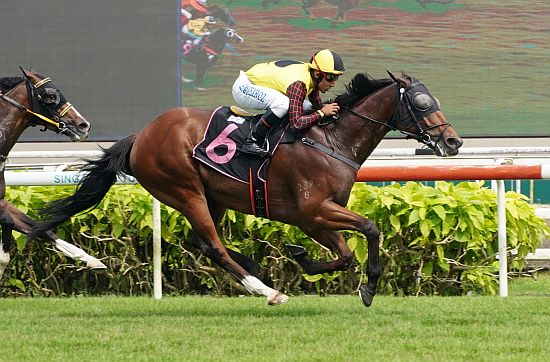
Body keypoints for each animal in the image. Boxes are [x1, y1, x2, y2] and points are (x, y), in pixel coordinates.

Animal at [0, 68, 105, 282]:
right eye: (50, 95)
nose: (84, 125)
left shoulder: (2, 201)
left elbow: (40, 229)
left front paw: (92, 260)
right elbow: (9, 222)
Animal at [32, 72, 464, 306]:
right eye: (422, 102)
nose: (454, 142)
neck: (331, 140)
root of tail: (141, 136)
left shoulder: (312, 219)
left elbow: (342, 256)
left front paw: (301, 257)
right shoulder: (314, 211)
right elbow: (371, 229)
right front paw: (370, 286)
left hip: (213, 195)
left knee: (203, 243)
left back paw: (255, 269)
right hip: (184, 189)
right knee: (213, 246)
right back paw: (265, 289)